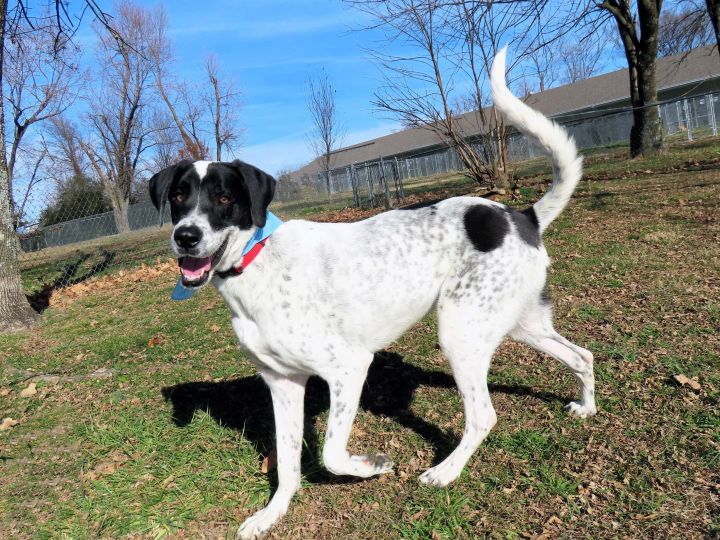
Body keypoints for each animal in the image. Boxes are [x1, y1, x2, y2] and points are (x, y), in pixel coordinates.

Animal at [148, 48, 596, 536]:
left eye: (225, 198)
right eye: (178, 196)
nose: (185, 236)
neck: (256, 260)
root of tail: (522, 215)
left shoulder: (348, 366)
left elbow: (330, 453)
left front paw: (373, 465)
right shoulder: (283, 383)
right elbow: (288, 464)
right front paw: (272, 514)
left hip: (460, 335)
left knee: (483, 415)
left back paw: (445, 471)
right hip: (519, 324)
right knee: (582, 356)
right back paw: (586, 407)